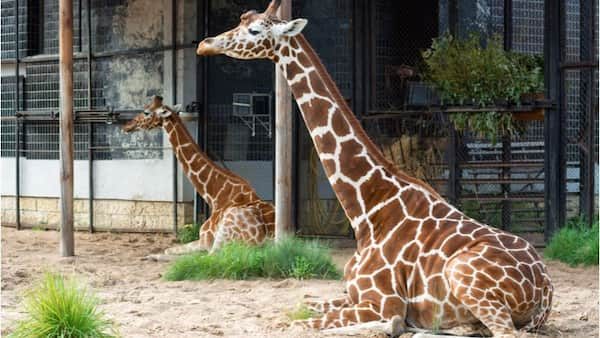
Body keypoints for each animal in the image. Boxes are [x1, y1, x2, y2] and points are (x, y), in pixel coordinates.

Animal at [123, 95, 274, 254]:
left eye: (146, 112)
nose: (126, 126)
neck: (215, 196)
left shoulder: (205, 240)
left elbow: (168, 250)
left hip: (225, 236)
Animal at [196, 1, 552, 336]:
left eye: (255, 30)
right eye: (240, 20)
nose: (204, 44)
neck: (367, 210)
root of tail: (546, 289)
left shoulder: (382, 302)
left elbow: (301, 324)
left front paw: (393, 326)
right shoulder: (351, 295)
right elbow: (295, 308)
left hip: (464, 276)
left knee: (505, 332)